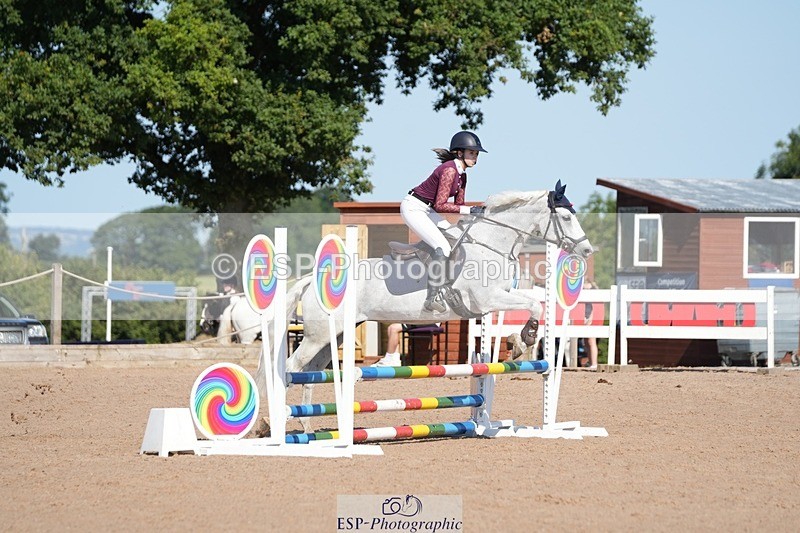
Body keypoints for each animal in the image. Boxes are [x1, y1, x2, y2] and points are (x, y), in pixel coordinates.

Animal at [257, 182, 592, 433]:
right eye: (565, 218)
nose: (587, 250)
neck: (490, 244)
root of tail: (312, 278)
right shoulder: (487, 299)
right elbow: (534, 305)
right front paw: (524, 340)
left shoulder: (497, 298)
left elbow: (533, 302)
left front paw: (519, 342)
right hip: (317, 336)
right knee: (291, 368)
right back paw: (276, 424)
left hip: (333, 336)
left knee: (311, 372)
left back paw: (307, 426)